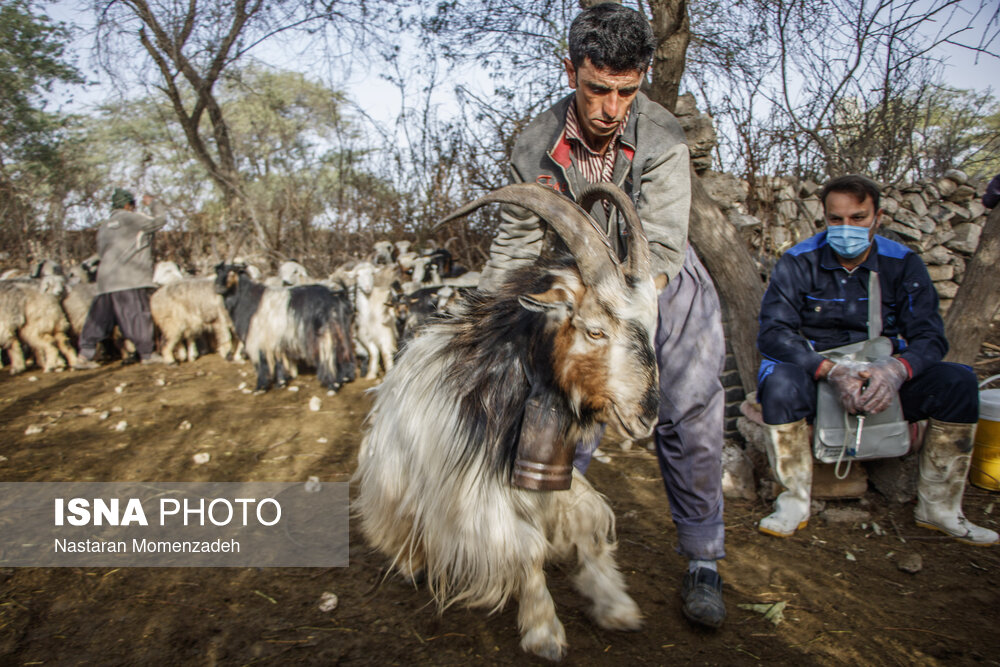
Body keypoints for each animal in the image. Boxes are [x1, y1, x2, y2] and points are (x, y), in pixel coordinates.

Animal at [214, 264, 356, 392]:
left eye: (232, 272)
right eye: (218, 272)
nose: (218, 288)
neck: (247, 300)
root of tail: (336, 297)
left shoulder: (257, 340)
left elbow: (262, 363)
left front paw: (260, 387)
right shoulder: (273, 340)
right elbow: (278, 361)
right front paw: (280, 382)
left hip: (324, 335)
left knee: (329, 357)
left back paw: (332, 385)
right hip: (341, 330)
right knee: (343, 352)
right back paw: (345, 378)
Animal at [356, 183, 660, 664]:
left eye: (653, 327)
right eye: (595, 331)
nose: (647, 415)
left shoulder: (554, 475)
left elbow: (588, 522)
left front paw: (615, 604)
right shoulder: (477, 496)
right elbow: (526, 549)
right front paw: (544, 631)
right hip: (395, 475)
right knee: (403, 521)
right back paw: (410, 562)